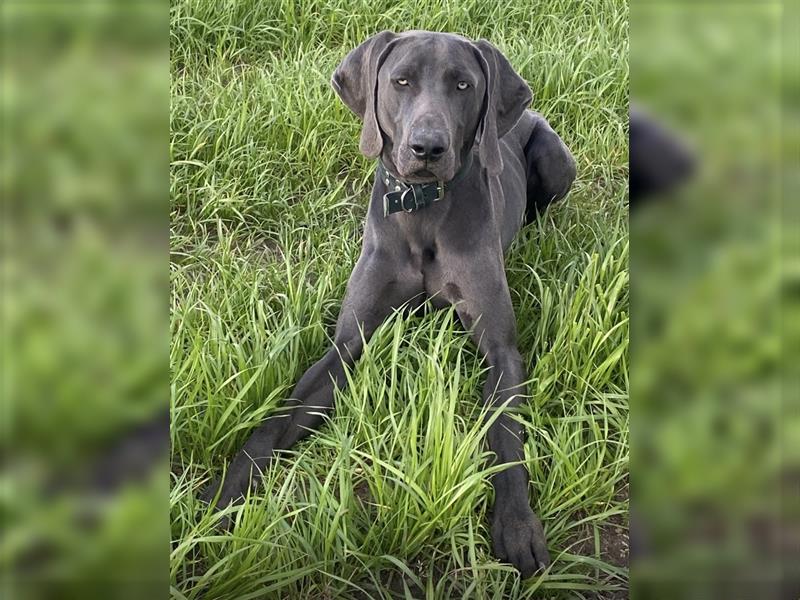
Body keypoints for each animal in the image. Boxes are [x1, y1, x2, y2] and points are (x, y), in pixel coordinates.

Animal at [208, 30, 576, 580]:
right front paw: (222, 498)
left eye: (463, 85)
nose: (428, 147)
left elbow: (505, 435)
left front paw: (516, 526)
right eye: (401, 81)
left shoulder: (502, 350)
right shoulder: (346, 345)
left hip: (556, 160)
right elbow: (274, 423)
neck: (422, 209)